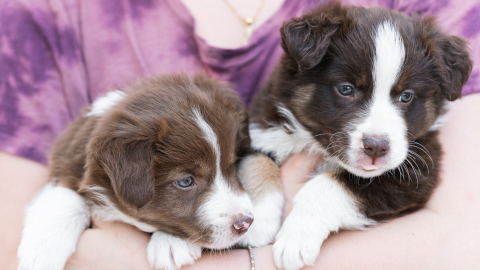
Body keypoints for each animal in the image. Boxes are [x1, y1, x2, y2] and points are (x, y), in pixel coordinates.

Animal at [17, 73, 258, 270]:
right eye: (185, 181)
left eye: (231, 165)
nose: (245, 223)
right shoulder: (67, 163)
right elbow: (65, 196)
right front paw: (39, 254)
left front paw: (171, 243)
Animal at [244, 2, 472, 270]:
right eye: (346, 89)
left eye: (406, 96)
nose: (376, 147)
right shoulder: (261, 128)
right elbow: (257, 161)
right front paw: (258, 221)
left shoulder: (416, 174)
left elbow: (329, 185)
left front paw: (295, 240)